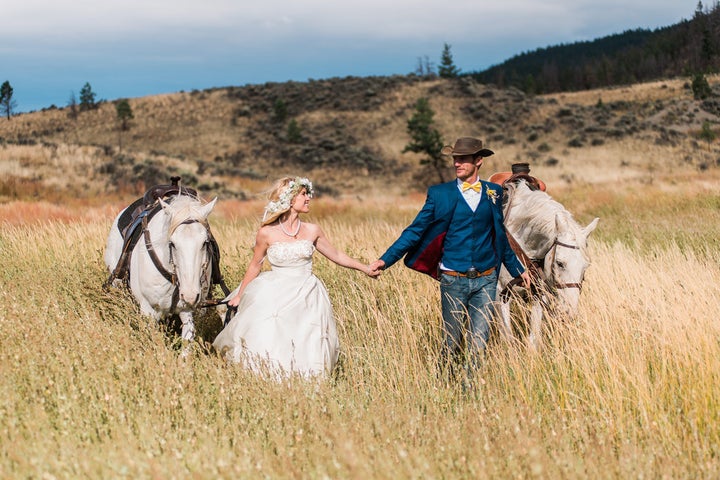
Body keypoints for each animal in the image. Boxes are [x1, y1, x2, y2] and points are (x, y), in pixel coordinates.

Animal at [498, 179, 600, 348]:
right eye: (559, 263)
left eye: (585, 267)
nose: (569, 313)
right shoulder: (501, 294)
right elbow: (508, 339)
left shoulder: (538, 295)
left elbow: (533, 339)